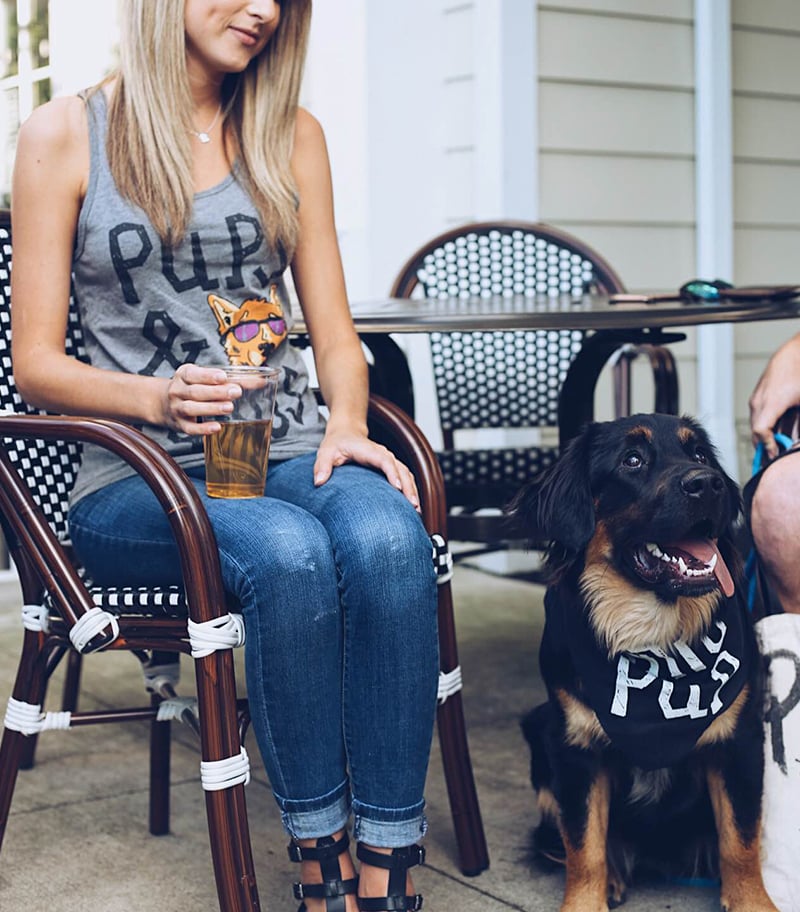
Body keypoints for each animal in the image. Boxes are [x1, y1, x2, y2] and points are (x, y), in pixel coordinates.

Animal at [510, 416, 780, 912]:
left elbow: (740, 841)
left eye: (699, 455)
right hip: (539, 732)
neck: (655, 637)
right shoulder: (573, 746)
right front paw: (586, 900)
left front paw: (752, 902)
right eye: (631, 460)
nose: (709, 483)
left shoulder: (740, 740)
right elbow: (584, 847)